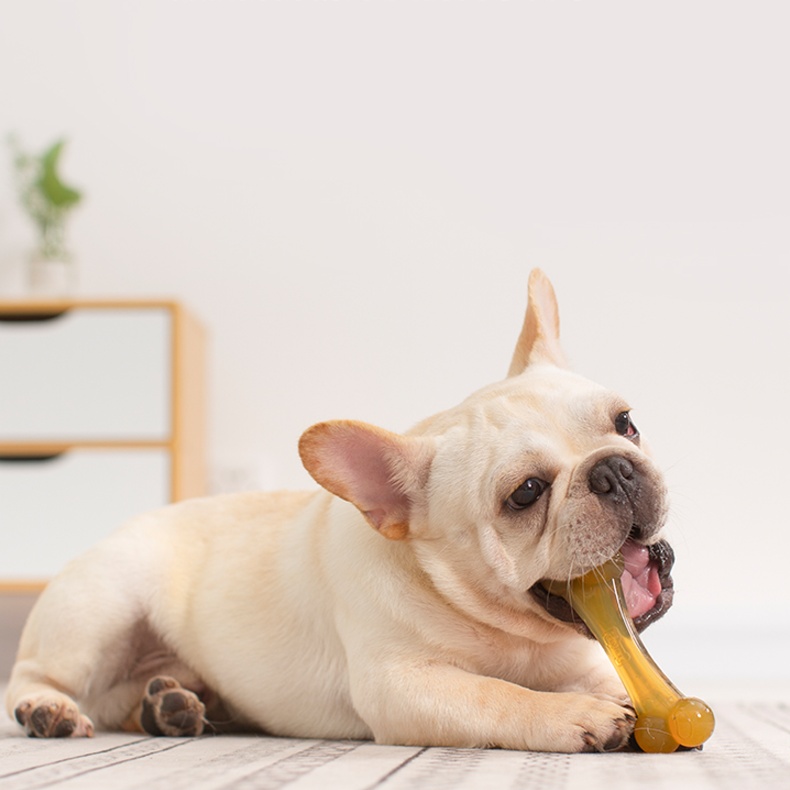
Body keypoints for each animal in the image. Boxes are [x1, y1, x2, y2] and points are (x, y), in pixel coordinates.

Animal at [6, 272, 676, 756]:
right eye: (527, 492)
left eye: (625, 423)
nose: (613, 470)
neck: (509, 635)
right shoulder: (403, 685)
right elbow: (496, 697)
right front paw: (573, 714)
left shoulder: (588, 660)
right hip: (99, 606)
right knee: (36, 674)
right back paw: (50, 710)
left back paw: (171, 706)